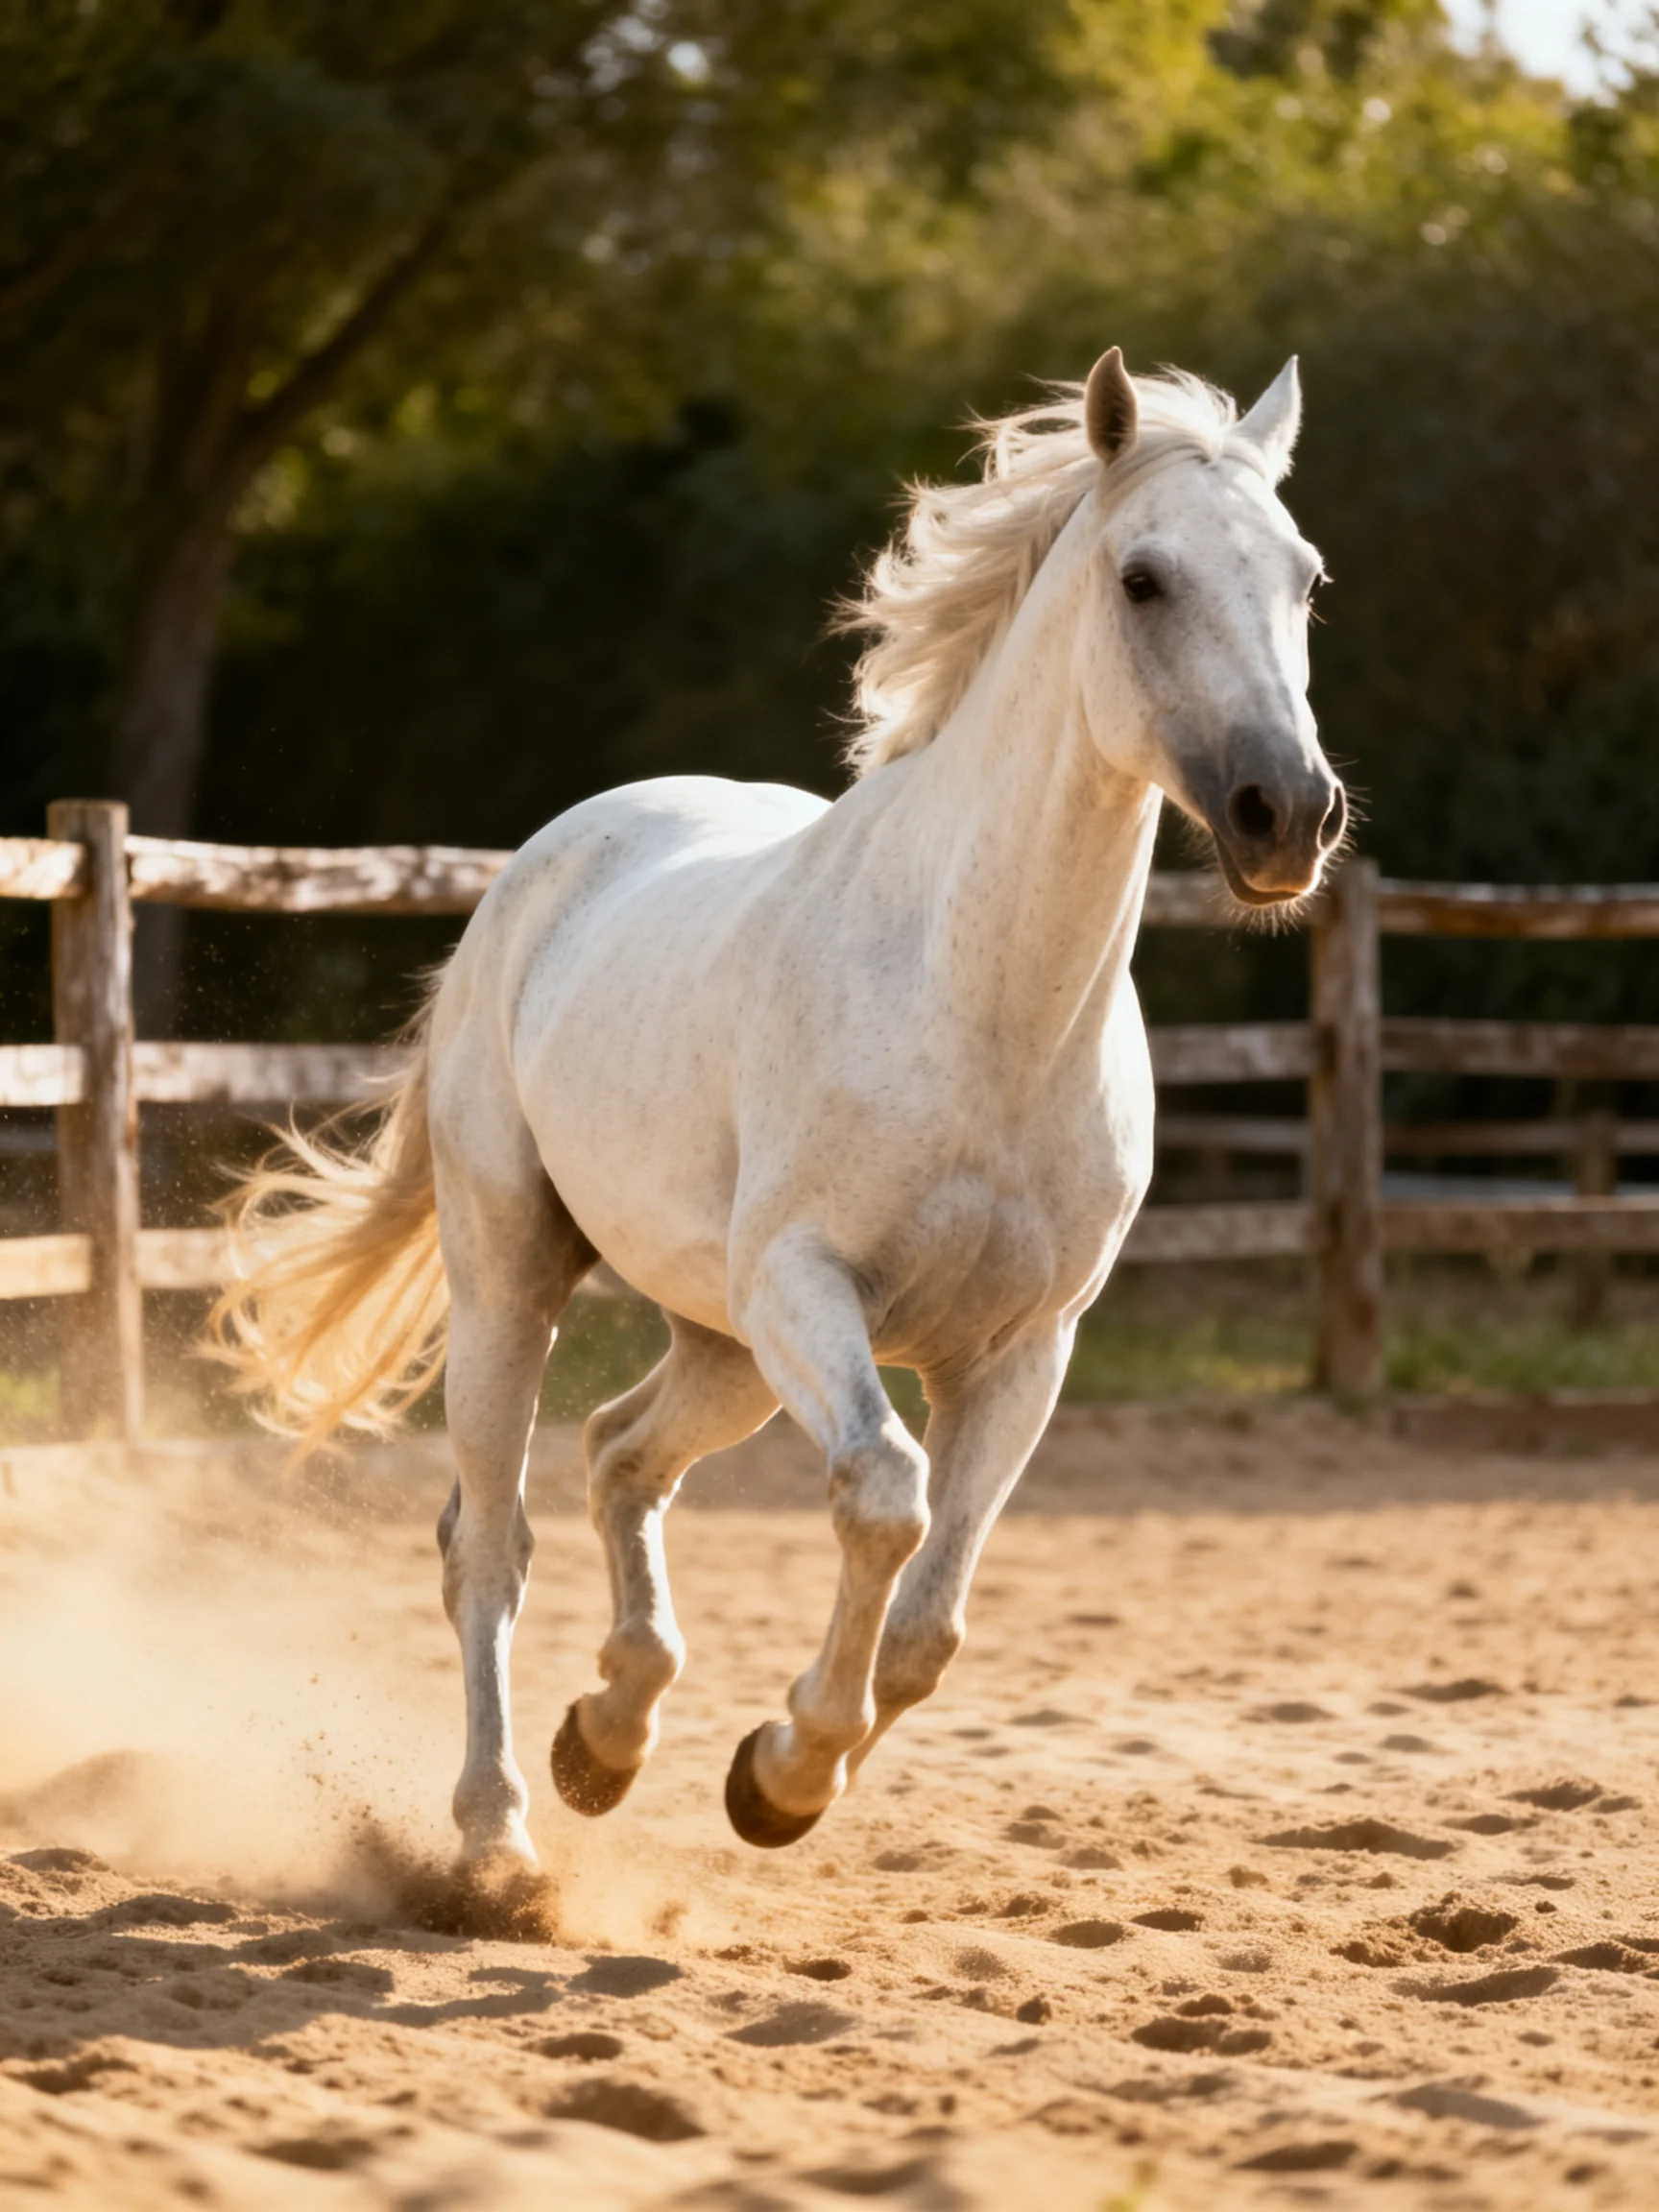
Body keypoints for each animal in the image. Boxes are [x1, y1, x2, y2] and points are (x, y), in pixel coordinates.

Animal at [213, 348, 1344, 1867]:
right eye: (1144, 578)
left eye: (1305, 579)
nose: (1291, 813)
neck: (977, 1006)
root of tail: (544, 864)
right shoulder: (814, 1289)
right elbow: (883, 1497)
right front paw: (789, 1768)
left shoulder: (1025, 1350)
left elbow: (931, 1625)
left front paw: (772, 1775)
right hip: (523, 1277)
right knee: (489, 1546)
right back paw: (498, 1837)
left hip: (727, 1345)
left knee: (619, 1455)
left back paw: (607, 1739)